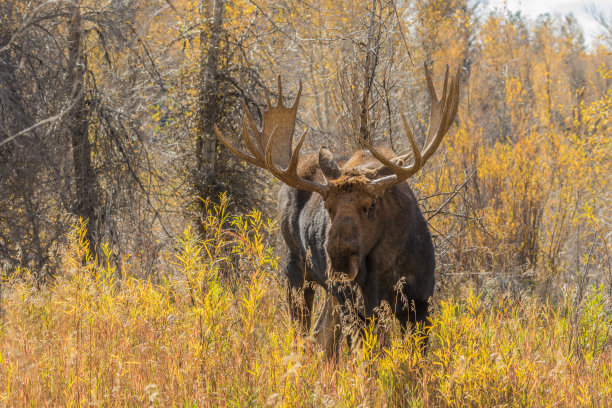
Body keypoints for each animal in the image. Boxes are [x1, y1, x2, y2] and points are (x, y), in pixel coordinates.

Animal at [215, 63, 460, 354]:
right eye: (328, 207)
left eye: (371, 205)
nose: (340, 257)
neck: (386, 265)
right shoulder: (359, 306)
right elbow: (368, 357)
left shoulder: (420, 302)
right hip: (299, 271)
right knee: (305, 333)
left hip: (332, 293)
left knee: (322, 333)